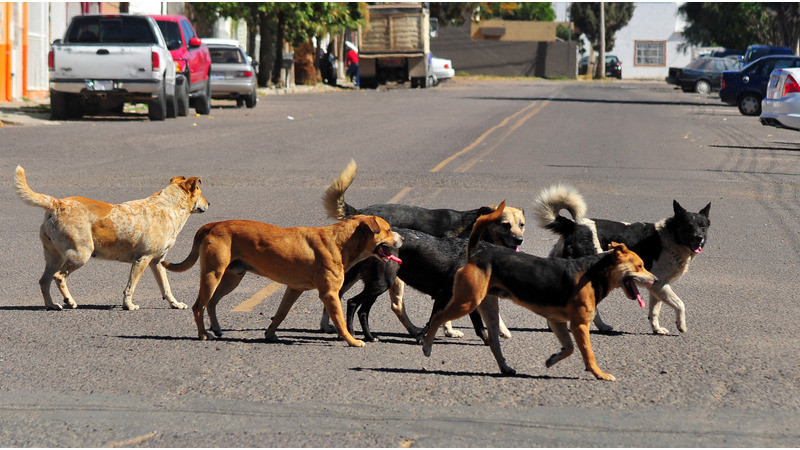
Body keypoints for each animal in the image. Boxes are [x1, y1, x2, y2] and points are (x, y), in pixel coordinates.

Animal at [14, 165, 209, 310]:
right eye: (200, 192)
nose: (209, 203)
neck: (167, 206)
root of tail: (57, 203)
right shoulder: (142, 259)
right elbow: (131, 286)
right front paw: (128, 305)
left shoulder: (157, 262)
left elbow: (166, 287)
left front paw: (175, 304)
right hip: (80, 254)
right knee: (59, 277)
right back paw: (69, 301)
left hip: (55, 257)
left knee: (44, 280)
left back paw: (51, 305)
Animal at [162, 216, 404, 346]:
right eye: (387, 229)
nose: (402, 238)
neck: (341, 242)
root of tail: (213, 224)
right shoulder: (329, 294)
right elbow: (340, 322)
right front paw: (352, 340)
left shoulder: (294, 289)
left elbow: (280, 314)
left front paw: (270, 334)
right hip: (213, 274)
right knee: (198, 306)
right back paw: (204, 334)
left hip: (232, 277)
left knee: (211, 303)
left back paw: (217, 328)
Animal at [418, 202, 656, 382]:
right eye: (639, 266)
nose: (655, 280)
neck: (594, 272)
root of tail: (477, 253)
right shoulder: (579, 325)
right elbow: (588, 354)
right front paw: (600, 374)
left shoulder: (557, 321)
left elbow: (568, 348)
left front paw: (552, 359)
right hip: (468, 302)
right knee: (437, 317)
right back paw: (427, 346)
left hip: (489, 307)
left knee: (494, 341)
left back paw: (505, 368)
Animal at [536, 183, 708, 334]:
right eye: (688, 225)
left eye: (703, 226)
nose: (699, 238)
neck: (672, 236)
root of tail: (573, 226)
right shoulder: (660, 285)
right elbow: (680, 304)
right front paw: (681, 326)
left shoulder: (656, 287)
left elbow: (654, 311)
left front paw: (657, 329)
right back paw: (599, 326)